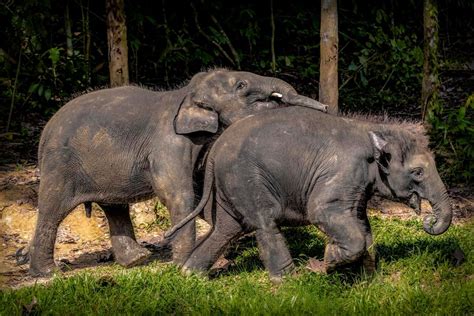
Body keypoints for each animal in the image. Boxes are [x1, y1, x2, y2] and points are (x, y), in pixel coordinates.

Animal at [24, 69, 328, 276]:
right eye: (241, 86)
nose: (326, 107)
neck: (185, 94)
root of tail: (43, 134)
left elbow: (202, 193)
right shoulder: (169, 142)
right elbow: (178, 194)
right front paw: (184, 263)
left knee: (115, 207)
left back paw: (137, 260)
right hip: (59, 165)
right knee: (52, 210)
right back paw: (48, 273)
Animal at [166, 105, 452, 282]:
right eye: (418, 172)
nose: (429, 220)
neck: (373, 128)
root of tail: (214, 150)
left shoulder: (358, 185)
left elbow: (361, 222)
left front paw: (368, 280)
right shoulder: (343, 171)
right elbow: (321, 211)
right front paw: (328, 260)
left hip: (231, 185)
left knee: (226, 228)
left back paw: (191, 275)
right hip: (246, 178)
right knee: (264, 221)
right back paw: (287, 282)